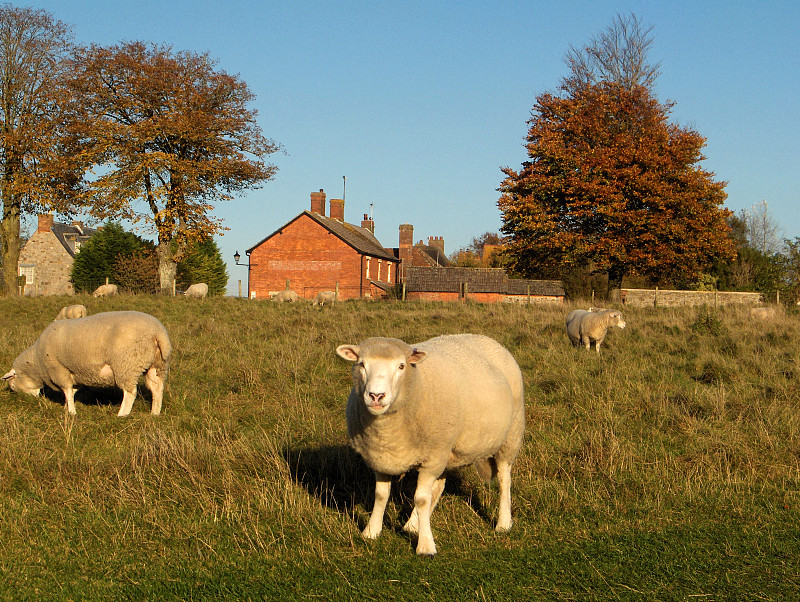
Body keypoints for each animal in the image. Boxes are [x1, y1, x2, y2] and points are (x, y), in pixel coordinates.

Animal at [336, 332, 524, 552]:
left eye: (401, 366)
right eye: (362, 364)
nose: (376, 396)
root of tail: (485, 338)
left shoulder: (431, 458)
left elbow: (421, 499)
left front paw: (425, 545)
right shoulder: (380, 458)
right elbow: (381, 495)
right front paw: (371, 531)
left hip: (510, 436)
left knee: (504, 479)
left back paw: (503, 523)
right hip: (446, 452)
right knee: (438, 487)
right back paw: (412, 525)